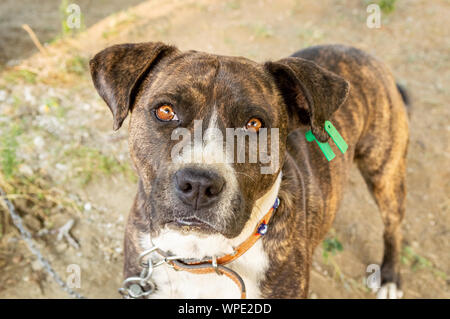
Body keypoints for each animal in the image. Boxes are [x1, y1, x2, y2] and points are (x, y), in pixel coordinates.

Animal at [89, 42, 410, 300]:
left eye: (254, 124)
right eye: (165, 111)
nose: (198, 184)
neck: (201, 257)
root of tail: (358, 52)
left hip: (385, 173)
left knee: (393, 226)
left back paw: (390, 278)